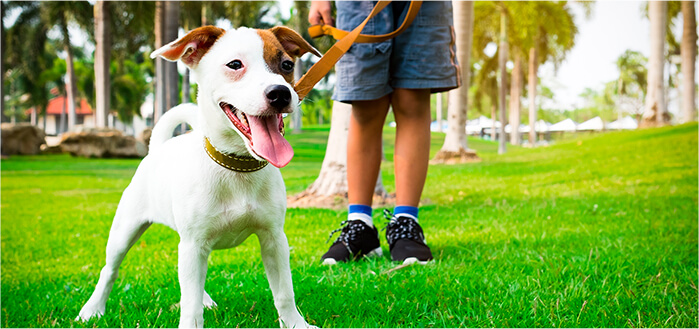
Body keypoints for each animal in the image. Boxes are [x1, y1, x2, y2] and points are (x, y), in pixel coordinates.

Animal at [76, 24, 320, 326]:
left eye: (287, 65)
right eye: (235, 64)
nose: (280, 93)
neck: (235, 166)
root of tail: (158, 149)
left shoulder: (274, 239)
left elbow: (285, 292)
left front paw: (296, 324)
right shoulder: (193, 244)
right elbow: (189, 305)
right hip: (125, 231)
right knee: (110, 270)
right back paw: (92, 309)